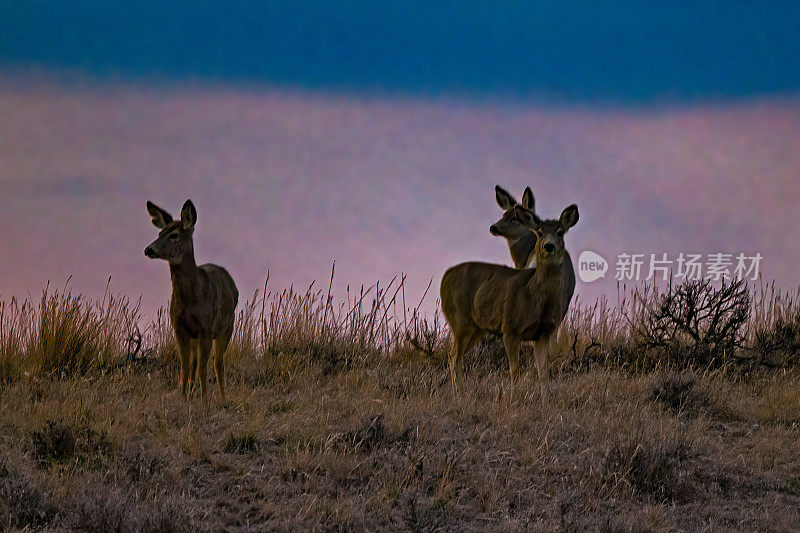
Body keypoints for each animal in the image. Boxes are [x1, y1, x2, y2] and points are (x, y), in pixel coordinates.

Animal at [145, 200, 238, 400]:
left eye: (174, 235)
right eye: (159, 233)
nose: (149, 249)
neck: (190, 300)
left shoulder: (206, 328)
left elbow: (204, 368)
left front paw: (205, 401)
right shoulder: (179, 327)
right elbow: (185, 367)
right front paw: (182, 398)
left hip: (227, 327)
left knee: (218, 362)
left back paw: (222, 396)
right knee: (195, 363)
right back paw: (191, 392)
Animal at [440, 202, 580, 396]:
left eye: (560, 232)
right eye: (539, 232)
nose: (549, 246)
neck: (536, 297)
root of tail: (445, 276)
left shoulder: (543, 333)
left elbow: (543, 372)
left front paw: (545, 400)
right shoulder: (510, 327)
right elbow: (515, 370)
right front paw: (514, 397)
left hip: (477, 327)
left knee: (454, 355)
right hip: (460, 319)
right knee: (455, 356)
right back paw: (459, 395)